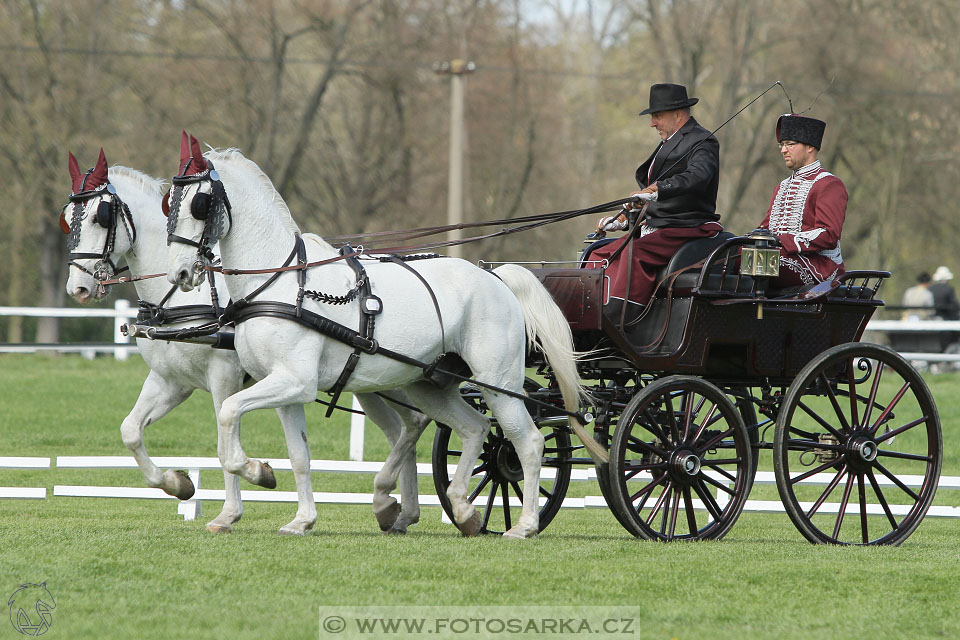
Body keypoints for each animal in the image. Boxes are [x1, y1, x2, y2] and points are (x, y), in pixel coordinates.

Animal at [63, 150, 428, 536]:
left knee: (414, 425)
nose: (78, 288)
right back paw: (399, 511)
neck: (178, 299)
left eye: (101, 217)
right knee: (407, 429)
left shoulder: (224, 375)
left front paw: (235, 504)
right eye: (67, 219)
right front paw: (178, 484)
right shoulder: (171, 381)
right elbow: (131, 431)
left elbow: (225, 444)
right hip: (376, 383)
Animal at [161, 140, 604, 540]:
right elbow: (299, 456)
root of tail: (495, 278)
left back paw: (524, 525)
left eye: (199, 204)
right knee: (475, 428)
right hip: (430, 385)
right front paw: (301, 519)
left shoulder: (295, 382)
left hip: (499, 384)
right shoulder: (286, 390)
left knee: (527, 443)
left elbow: (228, 412)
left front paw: (256, 471)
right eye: (170, 202)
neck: (281, 283)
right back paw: (463, 510)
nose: (180, 273)